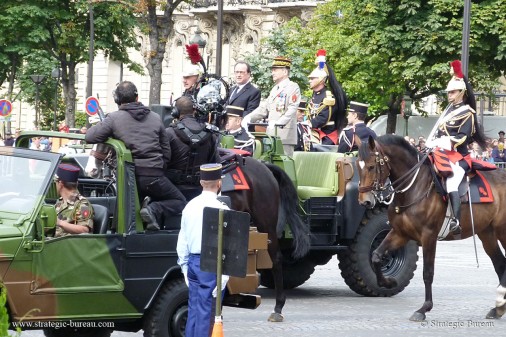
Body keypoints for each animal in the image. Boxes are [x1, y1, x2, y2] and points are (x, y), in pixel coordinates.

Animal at [356, 134, 506, 320]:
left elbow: (427, 273)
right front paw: (389, 282)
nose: (364, 201)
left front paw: (424, 308)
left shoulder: (429, 236)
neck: (413, 187)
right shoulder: (400, 233)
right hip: (487, 233)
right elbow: (376, 256)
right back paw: (498, 307)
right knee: (500, 264)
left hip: (502, 231)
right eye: (357, 166)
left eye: (371, 166)